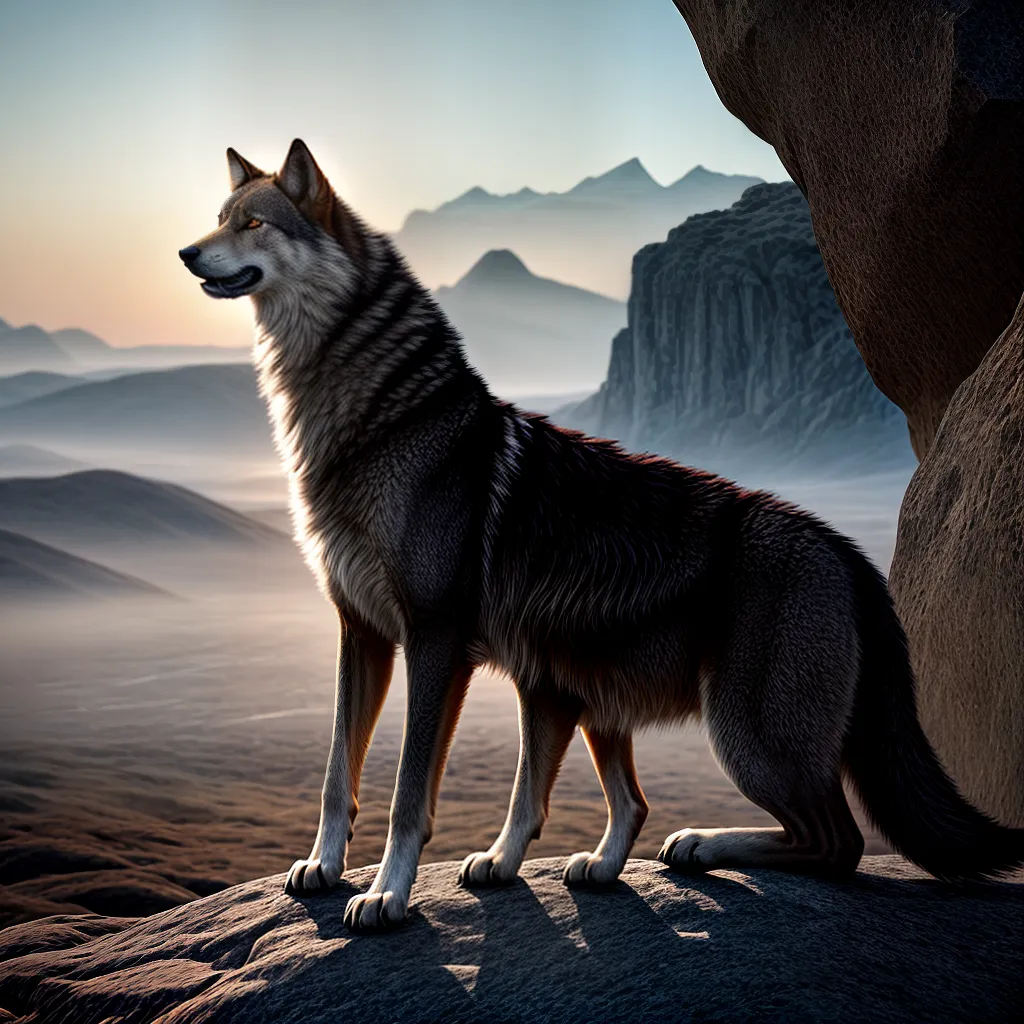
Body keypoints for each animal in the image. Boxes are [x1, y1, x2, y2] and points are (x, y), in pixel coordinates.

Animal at [180, 139, 1024, 932]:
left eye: (254, 224)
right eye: (220, 218)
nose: (185, 253)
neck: (376, 418)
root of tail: (846, 553)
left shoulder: (434, 642)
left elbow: (408, 794)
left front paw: (386, 896)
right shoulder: (362, 633)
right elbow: (337, 774)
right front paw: (326, 868)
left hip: (741, 738)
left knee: (836, 843)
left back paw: (703, 843)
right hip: (580, 687)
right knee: (636, 801)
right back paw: (589, 862)